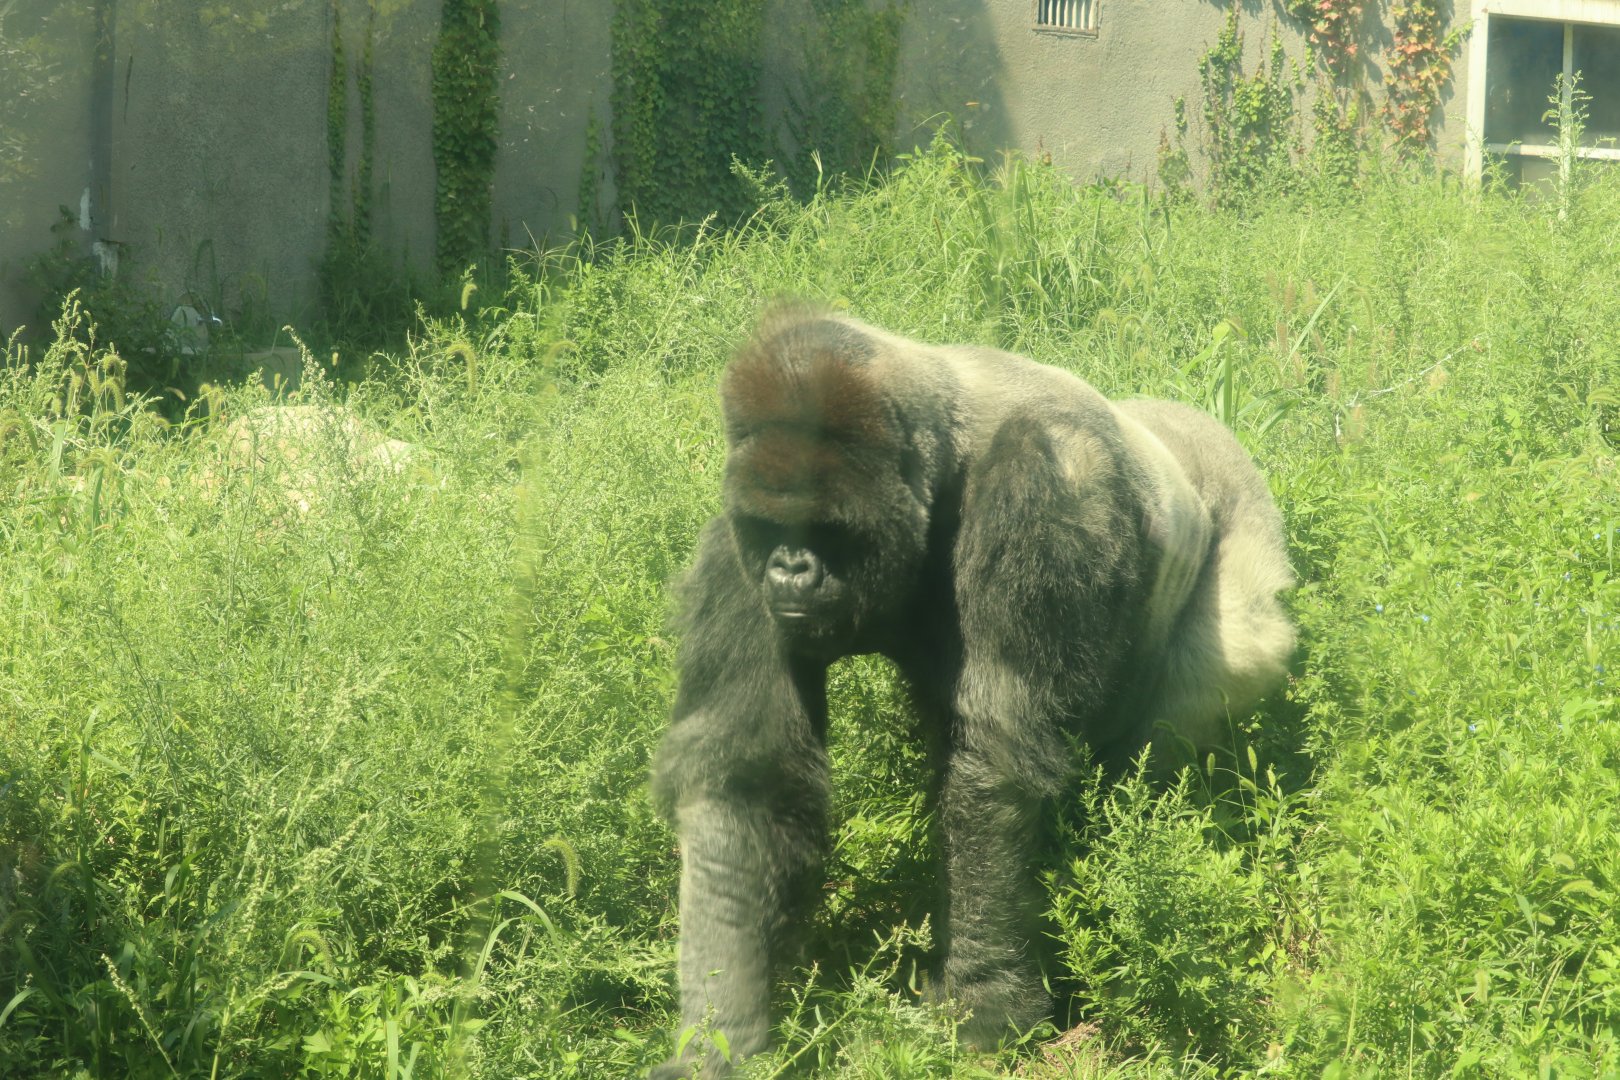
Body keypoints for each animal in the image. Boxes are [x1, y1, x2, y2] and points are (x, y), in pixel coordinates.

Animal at [648, 306, 1295, 1078]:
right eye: (773, 526)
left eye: (823, 528)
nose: (790, 568)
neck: (938, 459)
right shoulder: (735, 542)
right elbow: (746, 778)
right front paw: (722, 1038)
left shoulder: (1049, 476)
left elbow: (997, 757)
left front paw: (986, 1003)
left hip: (1243, 513)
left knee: (1203, 690)